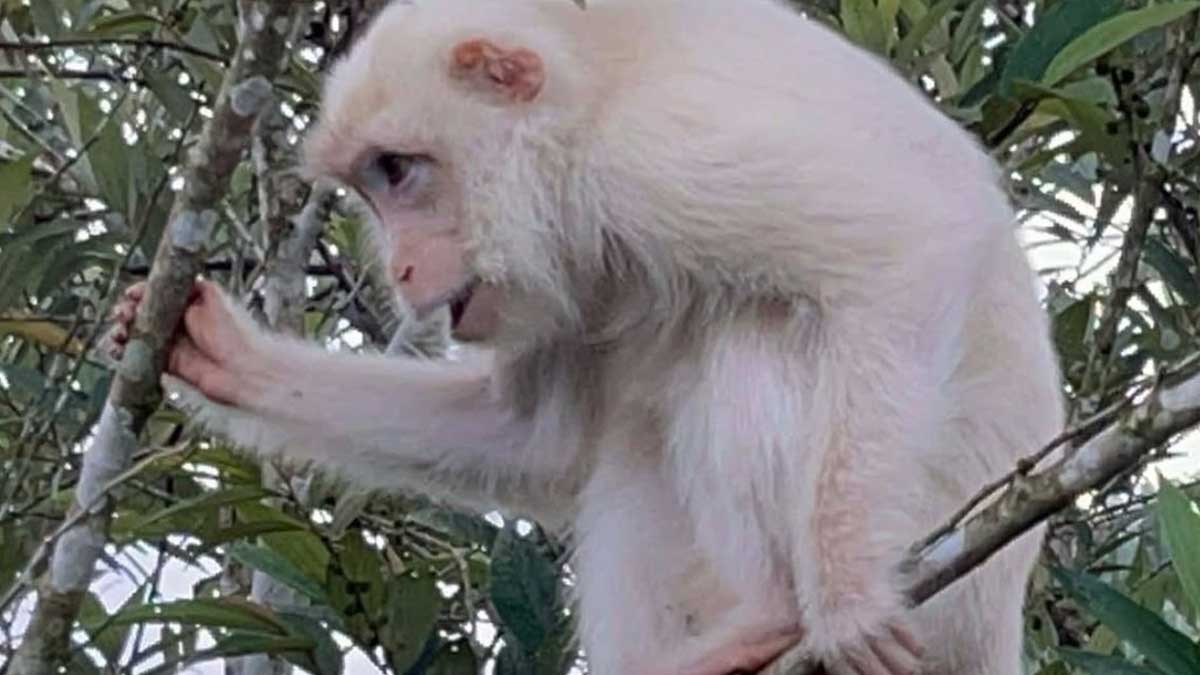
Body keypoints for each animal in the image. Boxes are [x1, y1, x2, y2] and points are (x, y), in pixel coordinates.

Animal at [108, 0, 1064, 673]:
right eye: (370, 188)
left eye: (398, 171)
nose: (403, 268)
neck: (583, 99)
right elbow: (534, 438)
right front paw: (225, 357)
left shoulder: (659, 157)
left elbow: (910, 248)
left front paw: (846, 599)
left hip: (941, 559)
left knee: (751, 339)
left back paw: (777, 613)